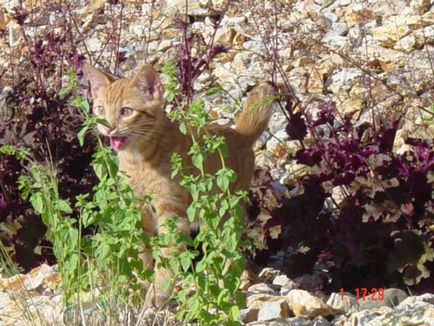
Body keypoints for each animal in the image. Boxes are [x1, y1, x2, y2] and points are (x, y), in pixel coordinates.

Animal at [84, 62, 274, 306]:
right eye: (100, 110)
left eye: (126, 111)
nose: (108, 128)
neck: (138, 161)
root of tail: (238, 133)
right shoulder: (138, 211)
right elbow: (143, 254)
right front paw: (141, 287)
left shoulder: (171, 213)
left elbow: (168, 256)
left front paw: (158, 294)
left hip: (223, 214)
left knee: (230, 252)